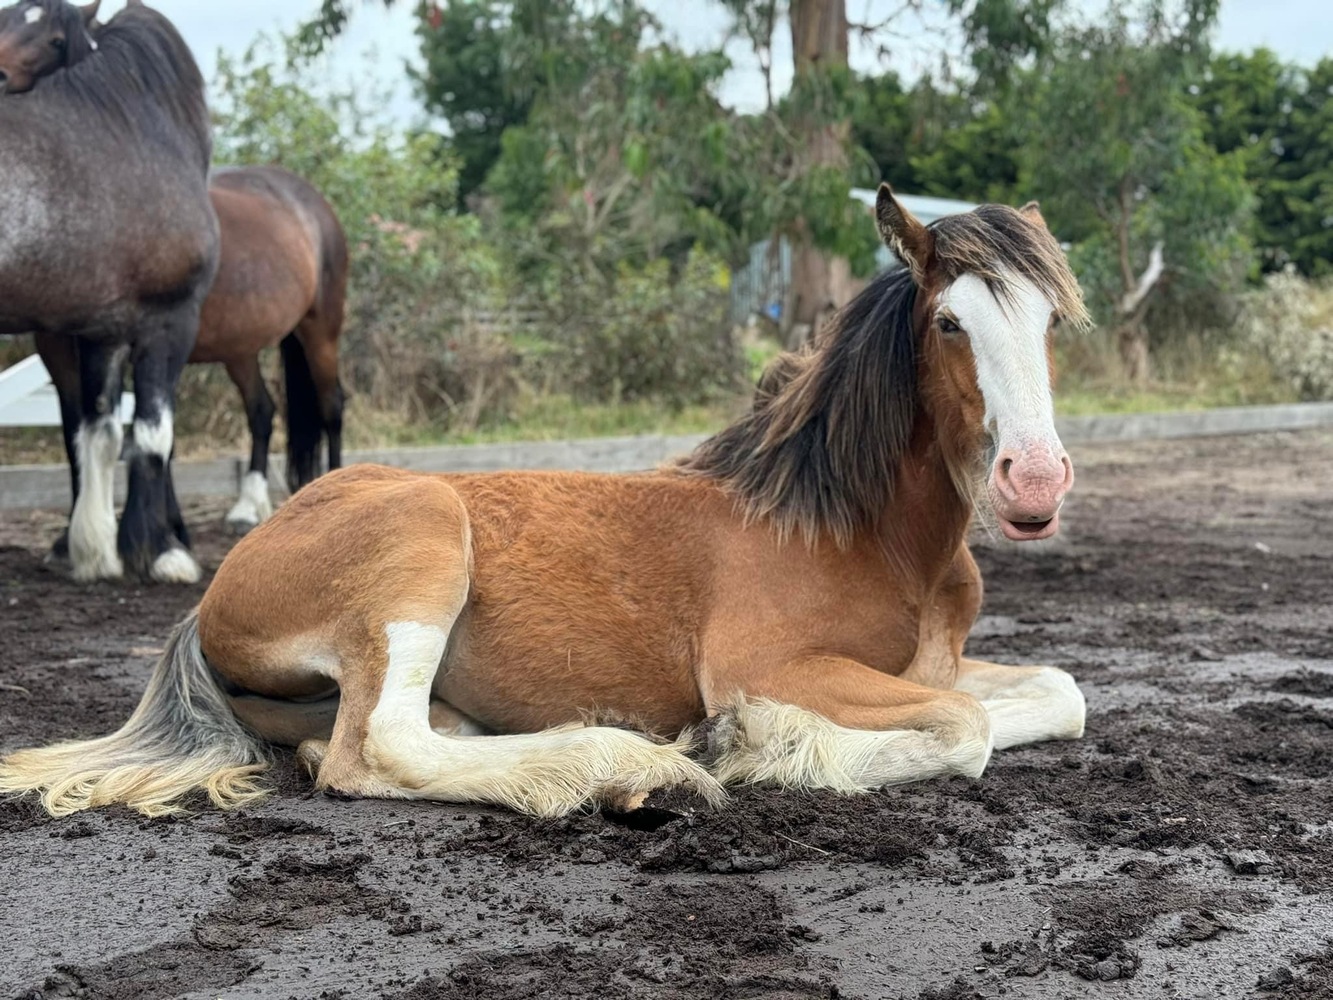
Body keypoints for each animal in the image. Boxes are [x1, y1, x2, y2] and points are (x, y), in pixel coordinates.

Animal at [0, 0, 219, 583]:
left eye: (55, 39)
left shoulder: (101, 330)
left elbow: (97, 432)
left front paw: (96, 550)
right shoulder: (169, 322)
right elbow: (152, 433)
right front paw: (160, 550)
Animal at [35, 165, 349, 539]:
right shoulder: (58, 355)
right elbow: (75, 438)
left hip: (320, 331)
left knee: (331, 407)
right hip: (239, 349)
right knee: (261, 410)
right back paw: (247, 507)